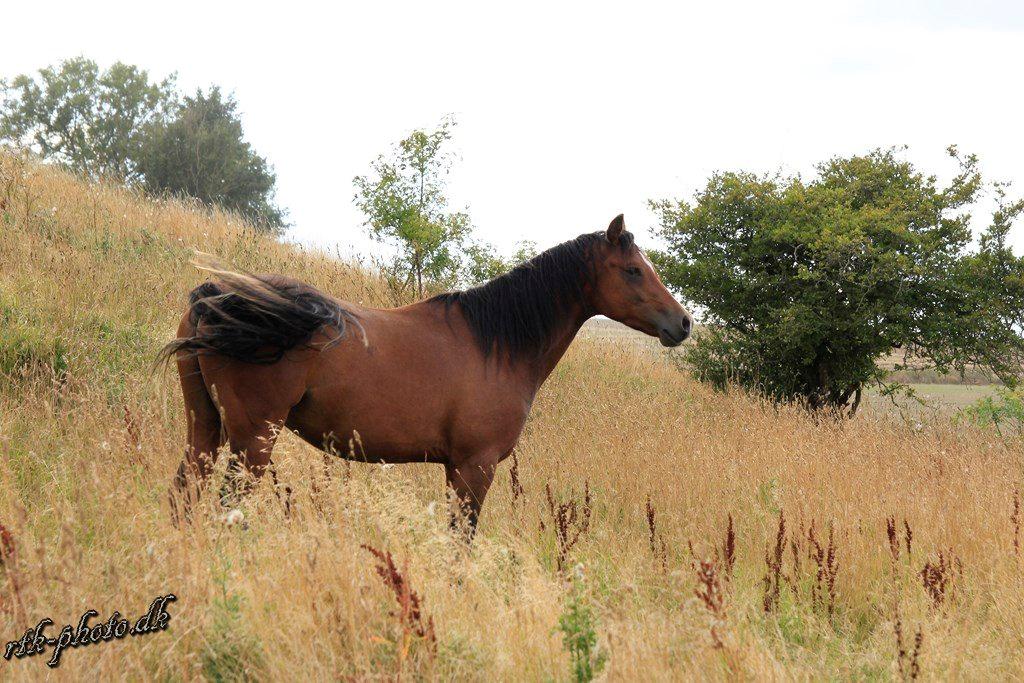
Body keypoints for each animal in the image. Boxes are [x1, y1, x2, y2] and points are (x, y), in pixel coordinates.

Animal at [162, 214, 692, 537]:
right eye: (632, 270)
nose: (683, 323)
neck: (495, 344)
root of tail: (213, 299)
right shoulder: (473, 468)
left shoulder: (456, 469)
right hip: (253, 439)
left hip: (206, 428)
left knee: (184, 498)